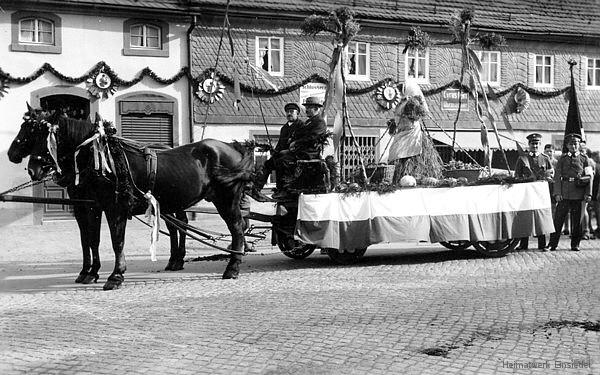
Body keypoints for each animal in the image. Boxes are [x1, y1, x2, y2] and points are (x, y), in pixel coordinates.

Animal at [9, 106, 253, 290]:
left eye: (38, 133)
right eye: (30, 130)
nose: (32, 168)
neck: (98, 159)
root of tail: (232, 148)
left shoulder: (114, 207)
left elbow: (116, 241)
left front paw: (115, 275)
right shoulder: (91, 207)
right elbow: (91, 240)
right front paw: (90, 272)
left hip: (227, 200)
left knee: (237, 229)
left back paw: (232, 266)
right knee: (187, 225)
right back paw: (183, 260)